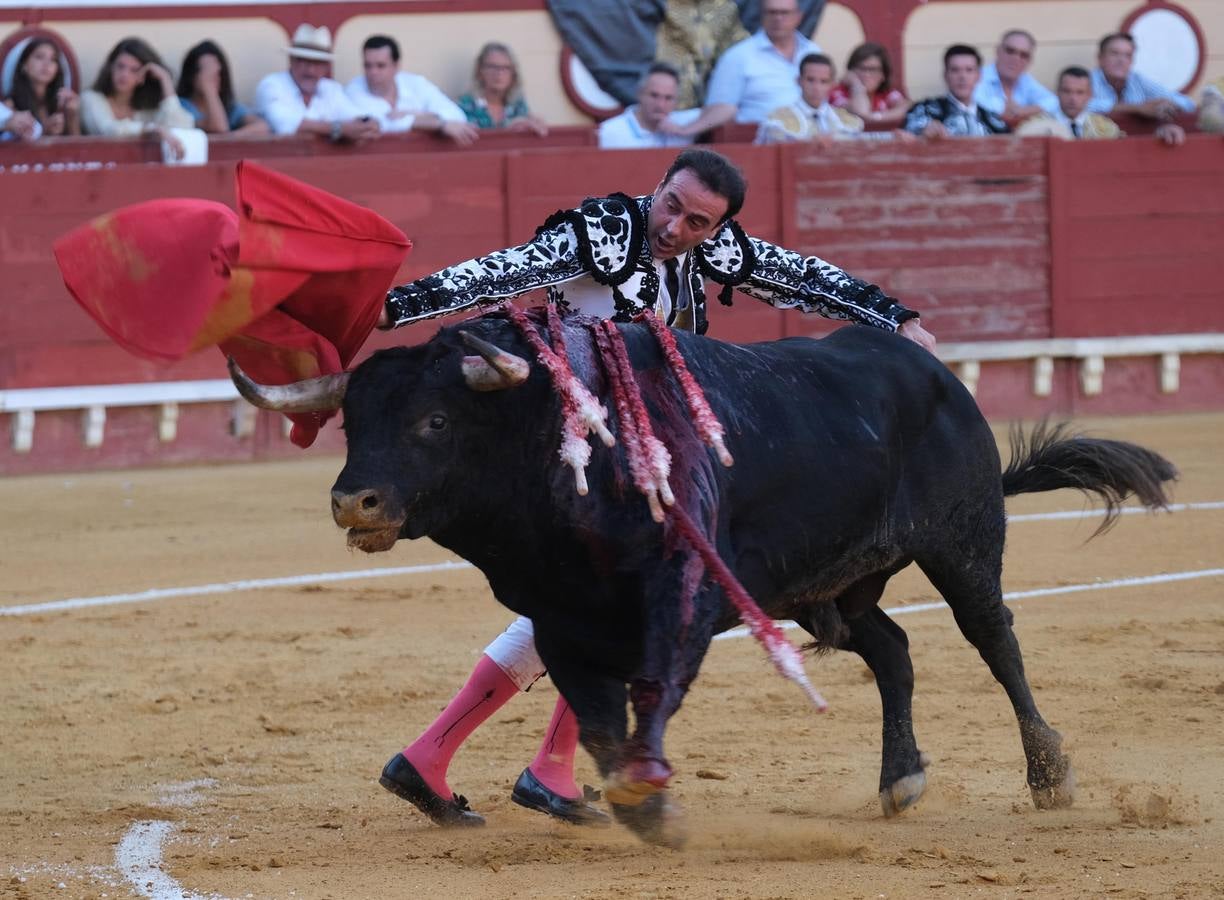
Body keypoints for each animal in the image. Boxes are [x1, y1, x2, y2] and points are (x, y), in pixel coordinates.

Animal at [230, 309, 1175, 842]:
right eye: (350, 421)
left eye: (433, 419)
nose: (355, 502)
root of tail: (934, 371)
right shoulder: (560, 618)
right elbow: (597, 717)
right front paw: (632, 803)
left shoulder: (680, 600)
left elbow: (650, 694)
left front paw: (640, 798)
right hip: (825, 591)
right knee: (894, 650)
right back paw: (899, 778)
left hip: (964, 540)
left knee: (995, 639)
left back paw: (1048, 773)